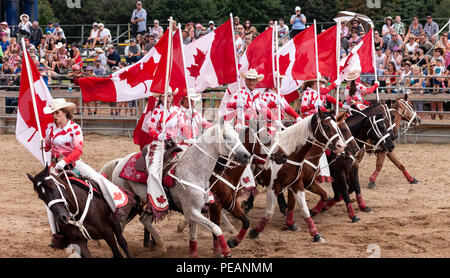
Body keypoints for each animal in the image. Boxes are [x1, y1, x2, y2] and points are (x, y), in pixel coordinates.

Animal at [100, 122, 251, 258]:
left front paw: (194, 253)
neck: (193, 170)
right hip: (128, 204)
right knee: (120, 225)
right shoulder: (193, 211)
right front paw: (227, 251)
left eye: (237, 134)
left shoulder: (197, 210)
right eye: (226, 136)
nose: (246, 155)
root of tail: (119, 161)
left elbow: (194, 235)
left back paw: (162, 246)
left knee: (143, 220)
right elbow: (216, 228)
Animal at [248, 109, 346, 242]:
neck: (289, 154)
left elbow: (306, 206)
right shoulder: (274, 186)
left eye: (337, 127)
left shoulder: (299, 183)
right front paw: (255, 231)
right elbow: (269, 211)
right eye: (327, 127)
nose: (342, 146)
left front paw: (315, 233)